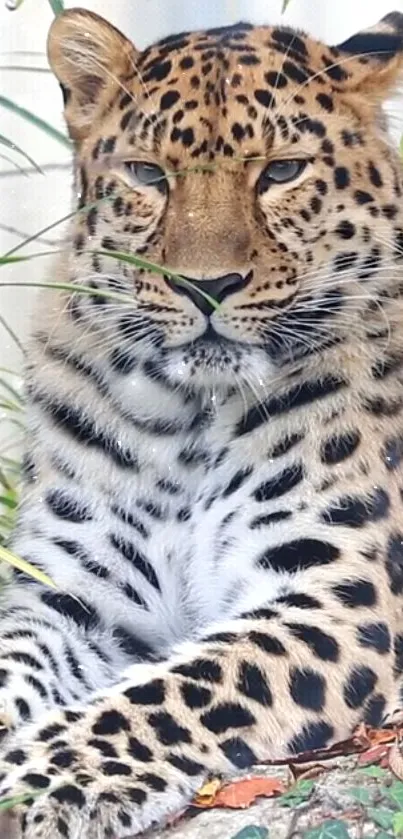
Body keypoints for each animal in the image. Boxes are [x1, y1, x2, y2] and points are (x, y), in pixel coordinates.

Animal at [0, 4, 403, 832]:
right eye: (148, 175)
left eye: (281, 171)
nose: (206, 286)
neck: (187, 416)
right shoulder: (72, 594)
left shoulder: (334, 590)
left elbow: (170, 692)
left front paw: (32, 779)